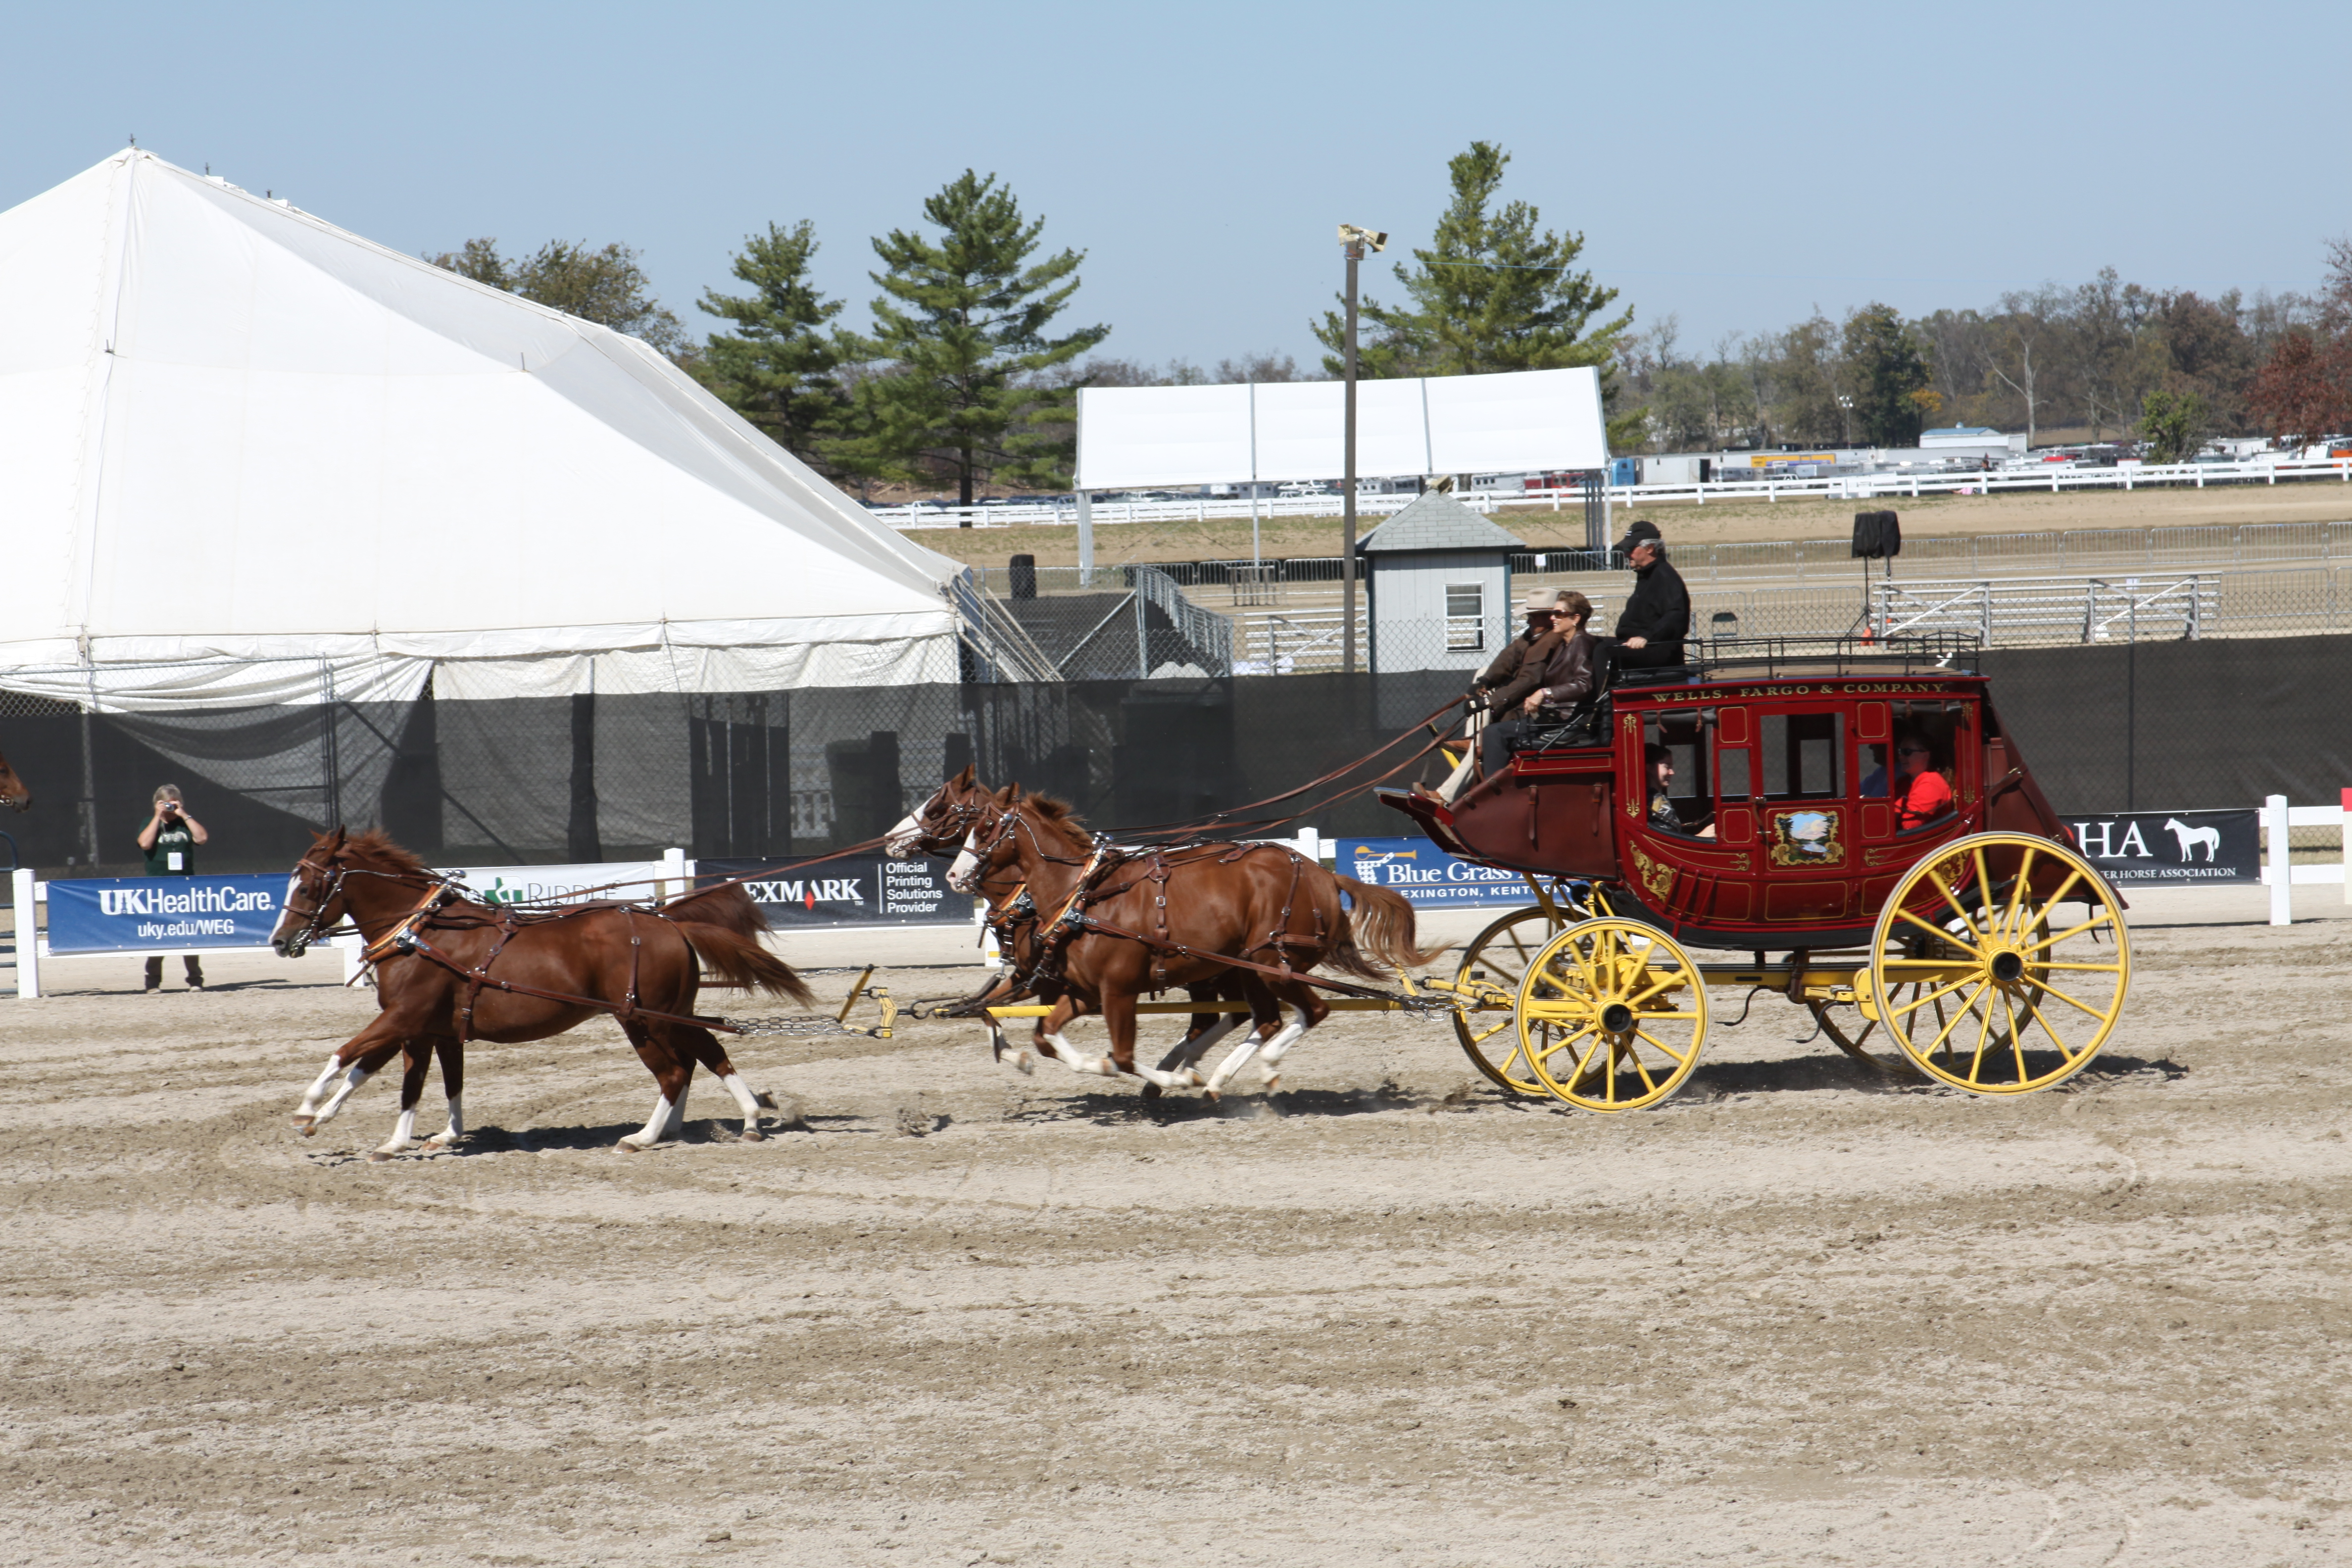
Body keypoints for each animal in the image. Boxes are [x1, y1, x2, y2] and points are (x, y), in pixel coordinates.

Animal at [269, 832, 809, 1152]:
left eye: (308, 887)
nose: (278, 942)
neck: (422, 934)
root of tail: (666, 920)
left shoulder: (404, 1019)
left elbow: (350, 1057)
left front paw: (311, 1108)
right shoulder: (429, 1029)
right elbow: (421, 1080)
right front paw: (430, 1136)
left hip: (641, 1018)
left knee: (675, 1071)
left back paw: (645, 1136)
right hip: (671, 1013)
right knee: (707, 1052)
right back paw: (743, 1118)